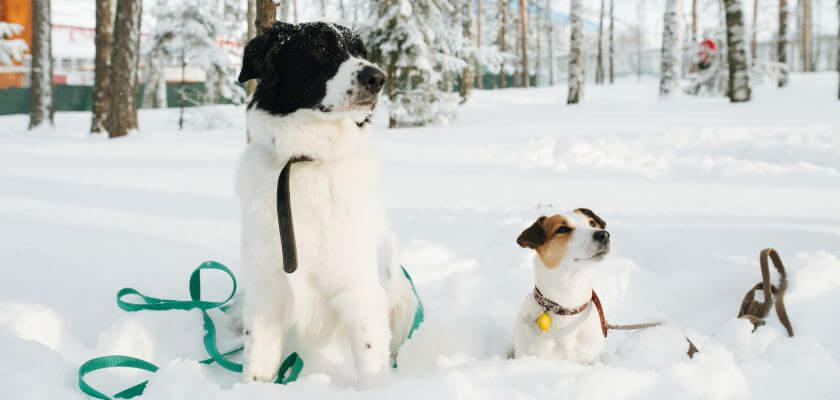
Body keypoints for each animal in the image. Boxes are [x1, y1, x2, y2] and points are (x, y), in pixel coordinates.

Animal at [235, 22, 418, 388]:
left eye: (361, 51)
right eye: (320, 48)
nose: (377, 78)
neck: (307, 159)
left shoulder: (360, 291)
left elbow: (371, 360)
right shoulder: (264, 291)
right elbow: (257, 361)